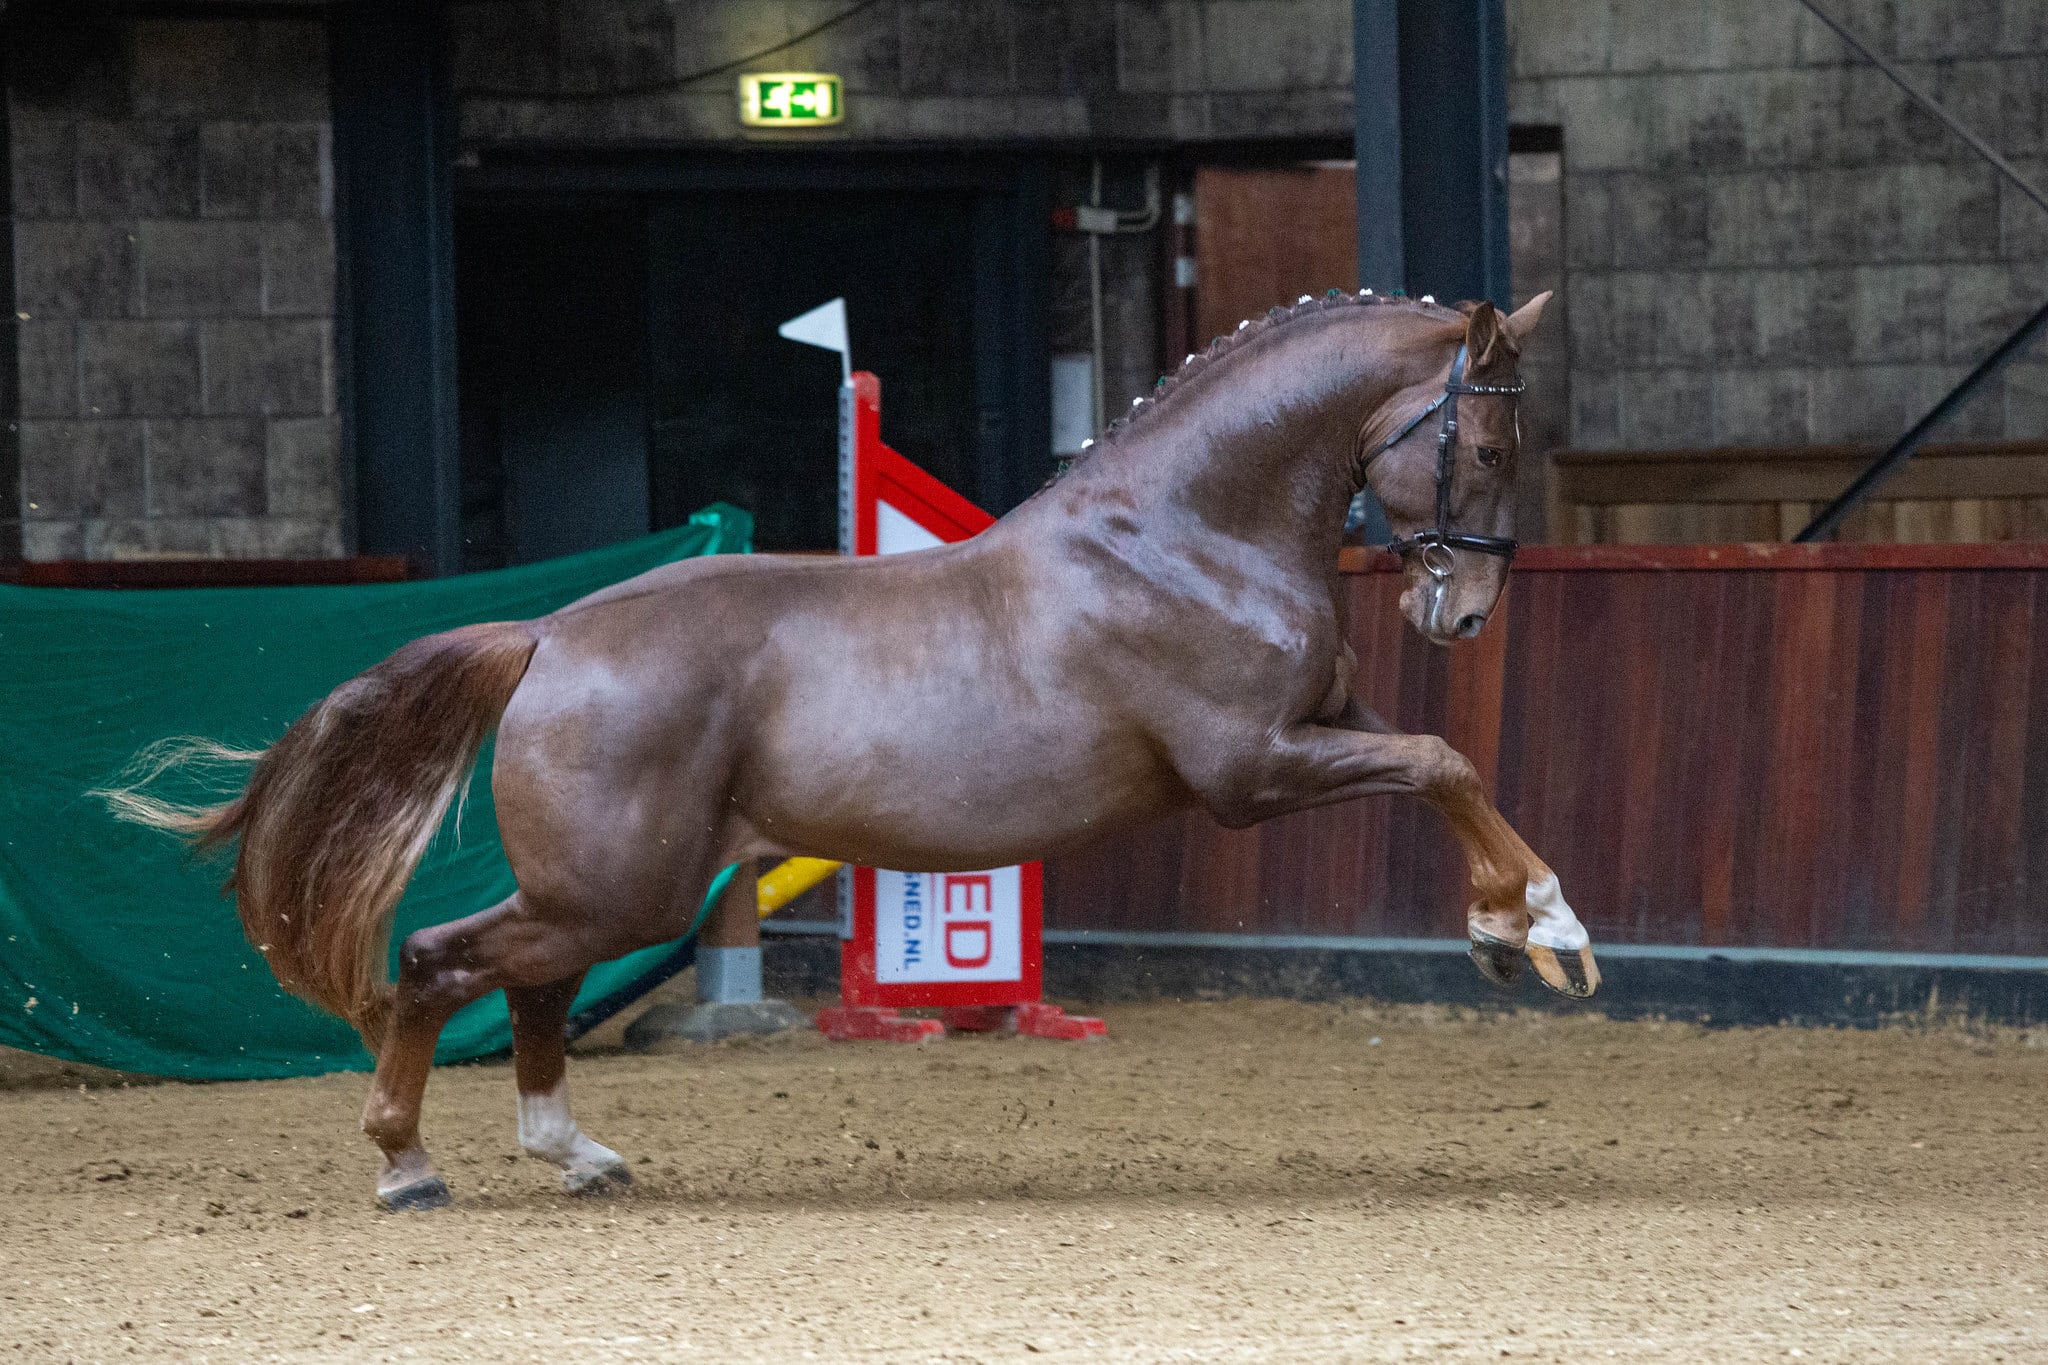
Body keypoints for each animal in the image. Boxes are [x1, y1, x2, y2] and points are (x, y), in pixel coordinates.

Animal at [108, 286, 1597, 1203]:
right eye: (1485, 442)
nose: (1463, 612)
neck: (1184, 536)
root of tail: (547, 634)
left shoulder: (1321, 725)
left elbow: (1447, 764)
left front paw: (1509, 925)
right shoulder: (1252, 770)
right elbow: (1443, 760)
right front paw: (1543, 923)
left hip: (606, 888)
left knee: (526, 985)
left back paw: (573, 1152)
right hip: (620, 884)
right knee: (437, 960)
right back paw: (408, 1164)